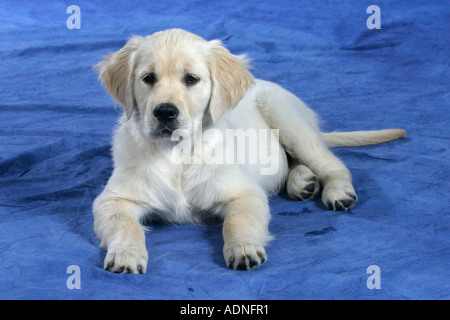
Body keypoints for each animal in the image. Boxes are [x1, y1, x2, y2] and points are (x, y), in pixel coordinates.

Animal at [93, 29, 406, 272]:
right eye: (148, 78)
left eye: (191, 79)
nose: (165, 112)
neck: (177, 153)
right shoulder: (113, 199)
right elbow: (126, 224)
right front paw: (126, 253)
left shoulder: (244, 193)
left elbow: (236, 221)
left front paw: (243, 249)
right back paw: (301, 182)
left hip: (287, 119)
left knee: (332, 165)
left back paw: (335, 190)